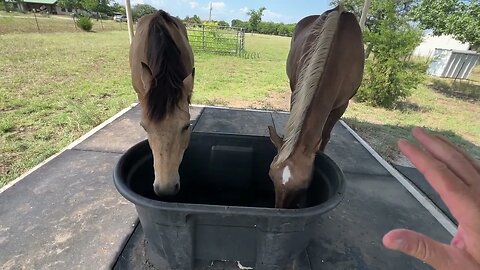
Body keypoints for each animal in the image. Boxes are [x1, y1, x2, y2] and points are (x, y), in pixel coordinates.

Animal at [268, 6, 366, 209]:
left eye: (303, 187)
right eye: (271, 177)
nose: (280, 210)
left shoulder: (342, 106)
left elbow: (325, 136)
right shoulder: (296, 92)